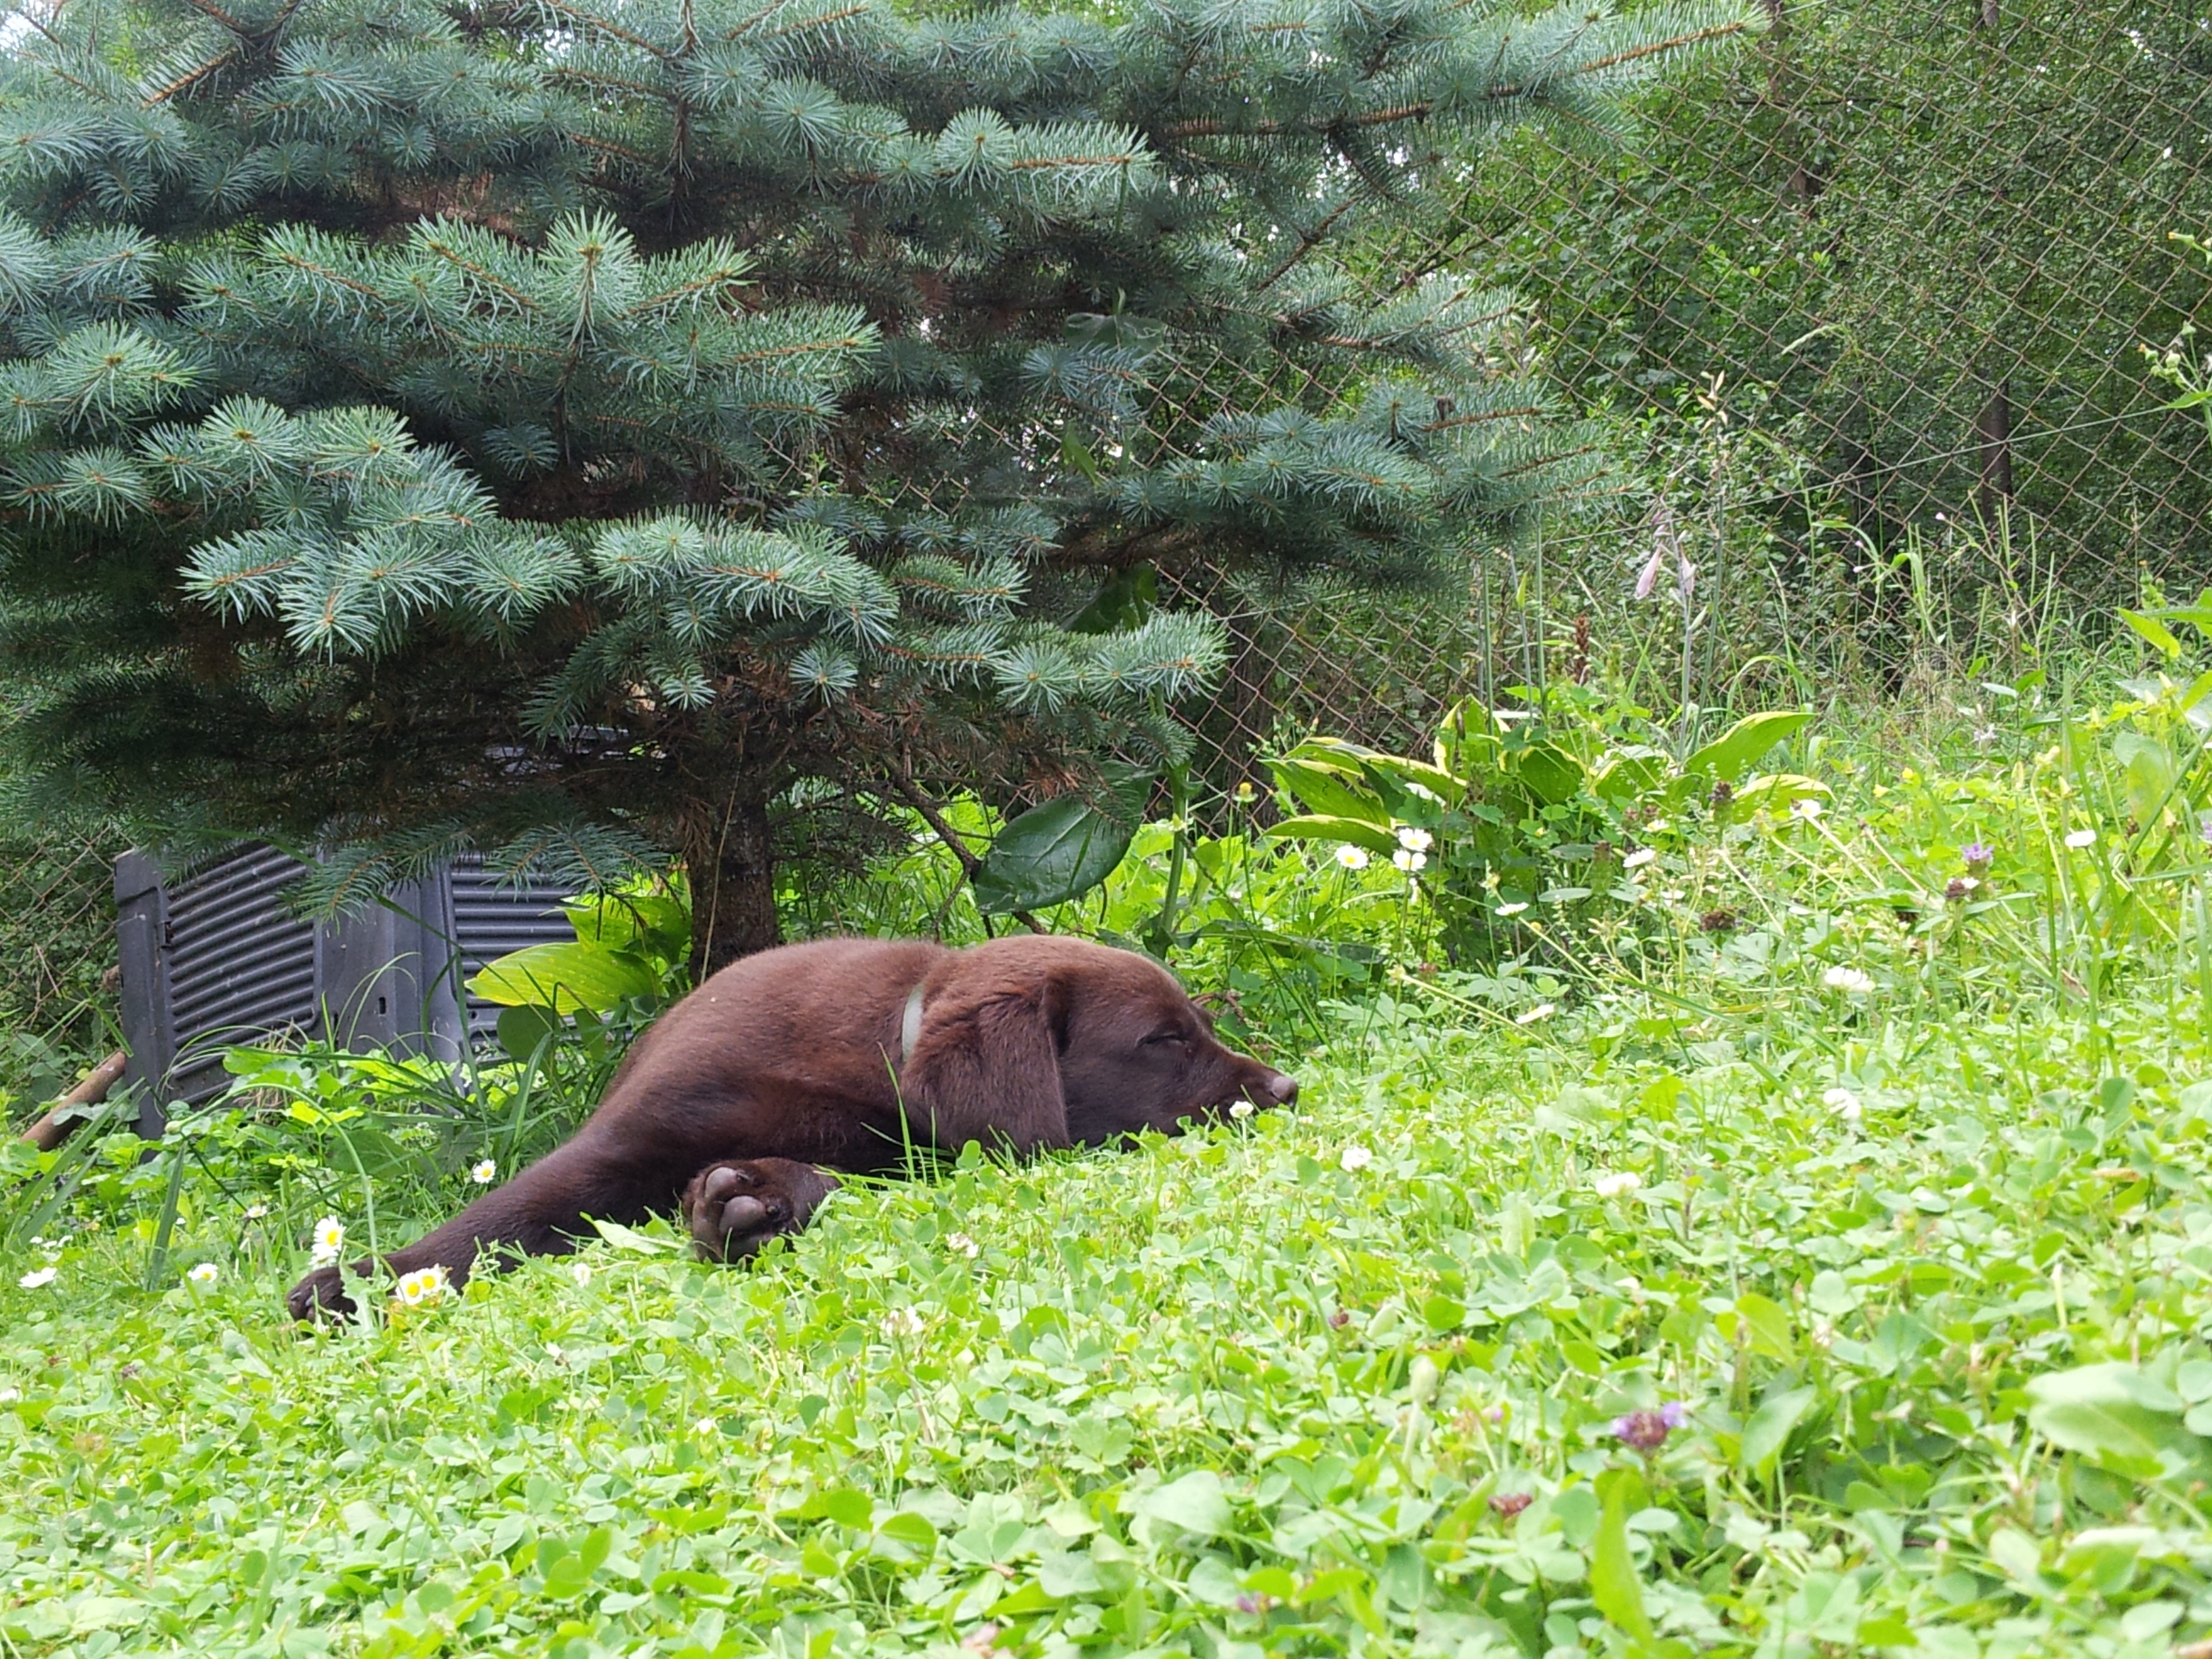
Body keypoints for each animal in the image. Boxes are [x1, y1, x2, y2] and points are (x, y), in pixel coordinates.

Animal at [289, 928, 1292, 1318]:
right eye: (1164, 1039)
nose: (1283, 1089)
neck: (886, 1042)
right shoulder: (624, 1144)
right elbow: (490, 1222)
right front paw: (353, 1286)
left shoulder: (899, 1156)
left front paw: (754, 1203)